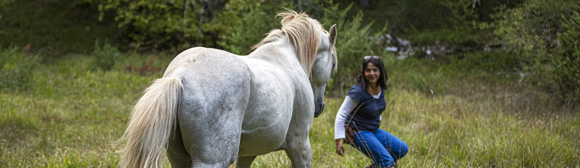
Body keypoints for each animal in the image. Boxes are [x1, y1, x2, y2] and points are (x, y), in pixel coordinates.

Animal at [119, 10, 336, 168]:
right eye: (333, 63)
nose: (319, 107)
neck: (284, 56)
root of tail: (180, 76)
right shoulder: (300, 146)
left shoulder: (248, 153)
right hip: (211, 161)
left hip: (178, 158)